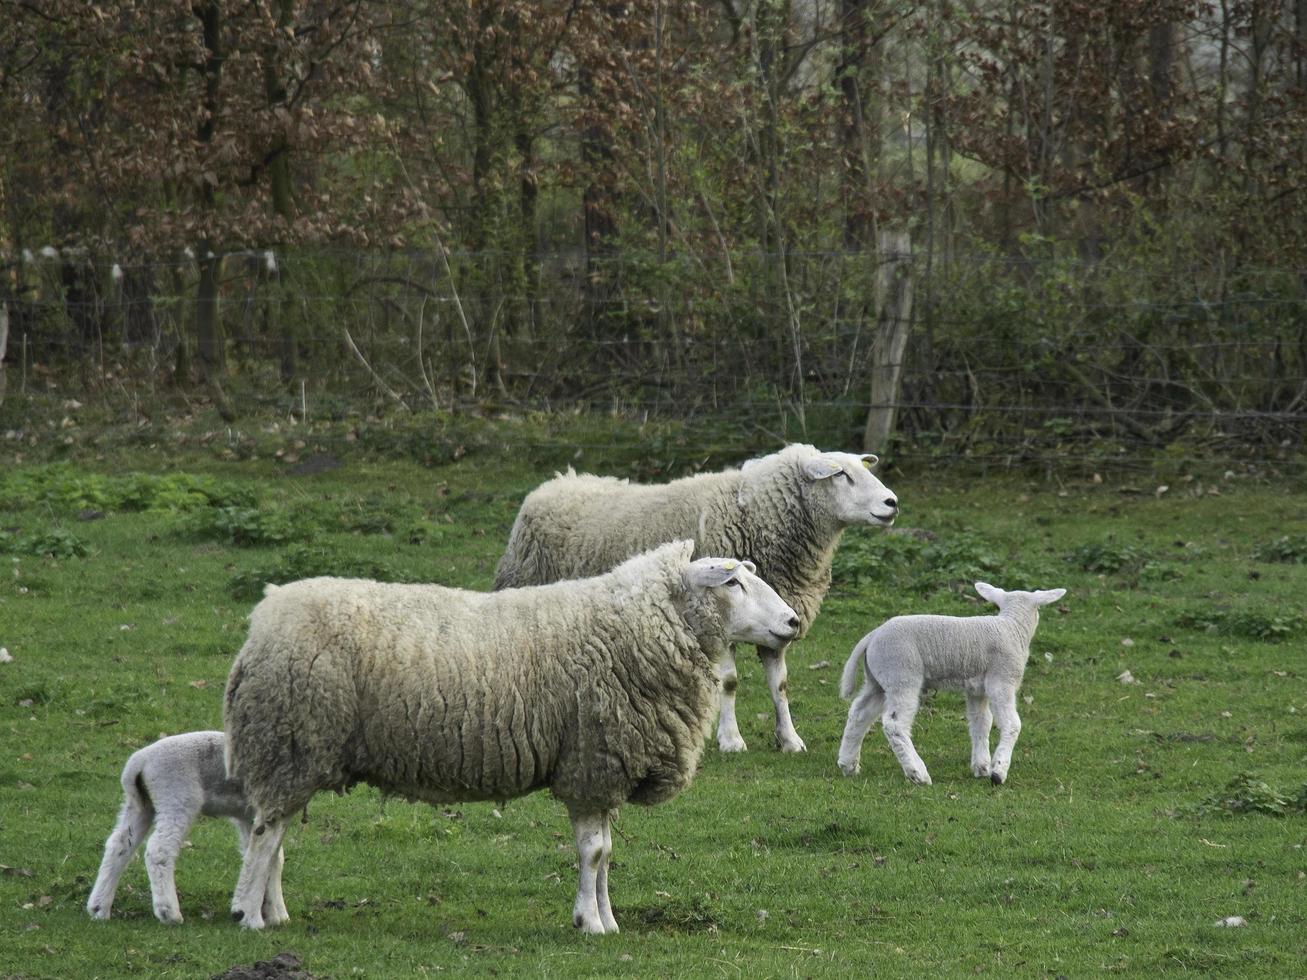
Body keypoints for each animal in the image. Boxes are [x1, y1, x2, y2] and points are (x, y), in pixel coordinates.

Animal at [89, 731, 288, 930]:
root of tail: (139, 762)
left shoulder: (248, 817)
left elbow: (268, 857)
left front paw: (275, 913)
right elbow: (265, 856)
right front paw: (261, 915)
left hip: (140, 804)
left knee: (119, 844)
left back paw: (99, 908)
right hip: (176, 798)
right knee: (159, 850)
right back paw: (169, 913)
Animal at [222, 540, 794, 930]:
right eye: (733, 584)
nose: (791, 622)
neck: (638, 629)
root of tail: (262, 619)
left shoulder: (604, 771)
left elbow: (607, 854)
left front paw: (607, 918)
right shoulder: (590, 764)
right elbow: (593, 853)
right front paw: (590, 923)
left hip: (296, 751)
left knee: (276, 835)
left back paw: (275, 912)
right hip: (290, 740)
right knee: (265, 834)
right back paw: (249, 914)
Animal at [491, 449, 899, 757]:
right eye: (841, 475)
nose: (892, 502)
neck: (753, 515)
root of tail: (559, 480)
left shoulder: (776, 622)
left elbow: (780, 685)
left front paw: (789, 739)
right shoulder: (718, 618)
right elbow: (730, 682)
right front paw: (731, 739)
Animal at [831, 588, 1066, 789]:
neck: (1013, 628)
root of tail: (872, 636)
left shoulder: (977, 689)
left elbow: (981, 722)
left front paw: (981, 767)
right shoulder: (1002, 680)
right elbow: (1011, 724)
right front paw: (998, 772)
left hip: (878, 680)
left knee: (859, 713)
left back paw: (848, 764)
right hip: (902, 673)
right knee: (894, 724)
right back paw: (917, 773)